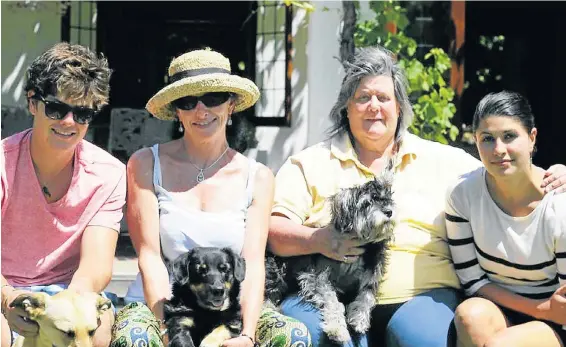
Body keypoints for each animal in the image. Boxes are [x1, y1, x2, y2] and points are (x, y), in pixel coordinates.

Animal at [266, 173, 394, 342]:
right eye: (368, 202)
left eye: (387, 198)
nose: (389, 211)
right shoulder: (317, 278)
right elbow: (333, 301)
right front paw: (337, 329)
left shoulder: (371, 276)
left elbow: (366, 297)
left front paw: (359, 319)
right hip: (275, 272)